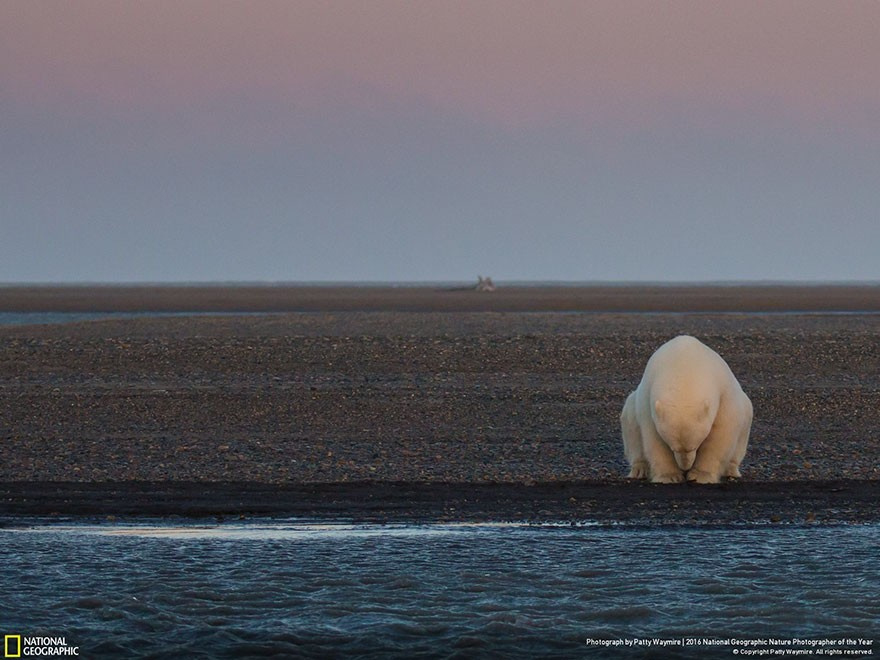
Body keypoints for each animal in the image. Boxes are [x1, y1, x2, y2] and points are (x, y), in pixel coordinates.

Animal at [620, 336, 756, 484]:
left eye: (694, 447)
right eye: (673, 447)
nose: (685, 467)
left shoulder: (724, 395)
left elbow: (720, 435)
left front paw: (701, 476)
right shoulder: (647, 399)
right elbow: (654, 438)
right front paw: (669, 476)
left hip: (746, 412)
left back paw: (730, 470)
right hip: (631, 408)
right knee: (631, 427)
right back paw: (639, 470)